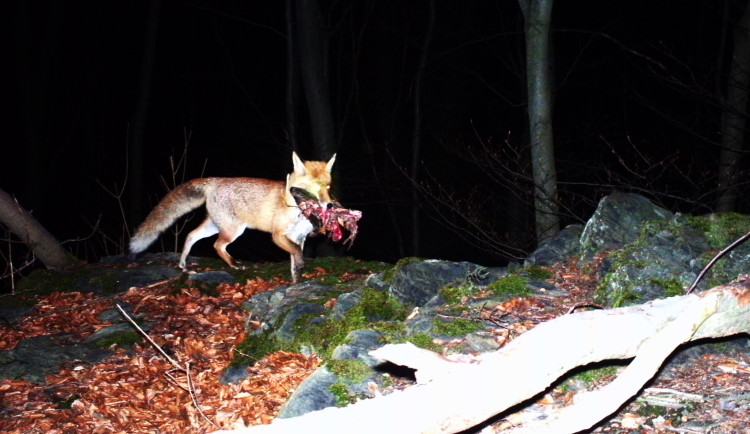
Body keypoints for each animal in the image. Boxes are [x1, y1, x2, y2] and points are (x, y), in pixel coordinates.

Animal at [130, 152, 338, 282]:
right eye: (314, 188)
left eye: (328, 187)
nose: (330, 205)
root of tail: (216, 180)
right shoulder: (278, 236)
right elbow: (296, 254)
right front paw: (300, 271)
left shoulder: (298, 237)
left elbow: (295, 261)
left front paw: (296, 281)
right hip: (233, 230)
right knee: (217, 246)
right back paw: (234, 265)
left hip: (215, 226)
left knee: (191, 235)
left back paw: (183, 265)